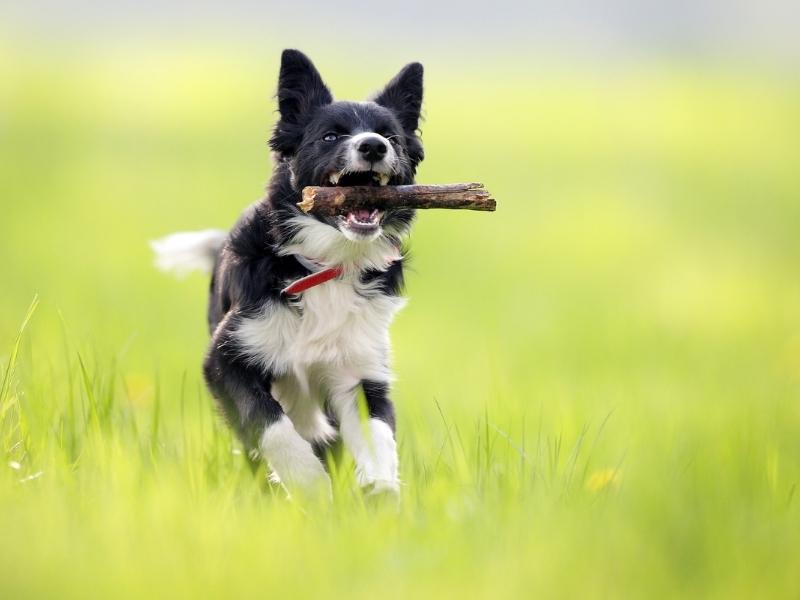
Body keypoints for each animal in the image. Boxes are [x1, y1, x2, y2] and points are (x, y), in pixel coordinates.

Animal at [152, 49, 424, 496]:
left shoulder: (359, 368)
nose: (373, 145)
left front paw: (381, 487)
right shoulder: (227, 358)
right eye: (330, 137)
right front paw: (308, 482)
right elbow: (270, 424)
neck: (323, 265)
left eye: (392, 138)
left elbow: (378, 433)